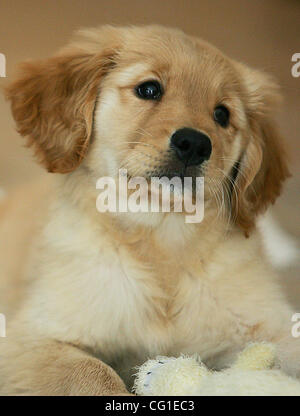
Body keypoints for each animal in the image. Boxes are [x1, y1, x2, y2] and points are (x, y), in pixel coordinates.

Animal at [0, 24, 298, 394]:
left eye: (222, 114)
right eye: (149, 89)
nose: (194, 144)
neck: (162, 232)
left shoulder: (270, 325)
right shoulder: (31, 338)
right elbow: (93, 373)